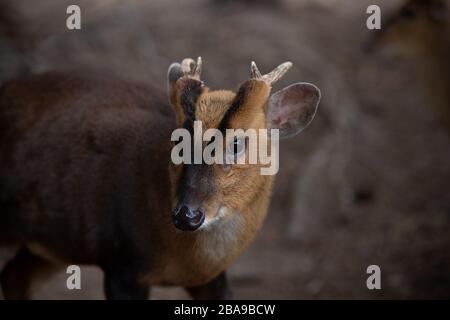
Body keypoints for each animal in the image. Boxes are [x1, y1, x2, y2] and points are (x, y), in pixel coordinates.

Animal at [0, 57, 320, 300]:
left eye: (237, 143)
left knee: (14, 278)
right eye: (177, 140)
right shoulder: (120, 264)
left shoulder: (211, 277)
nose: (187, 215)